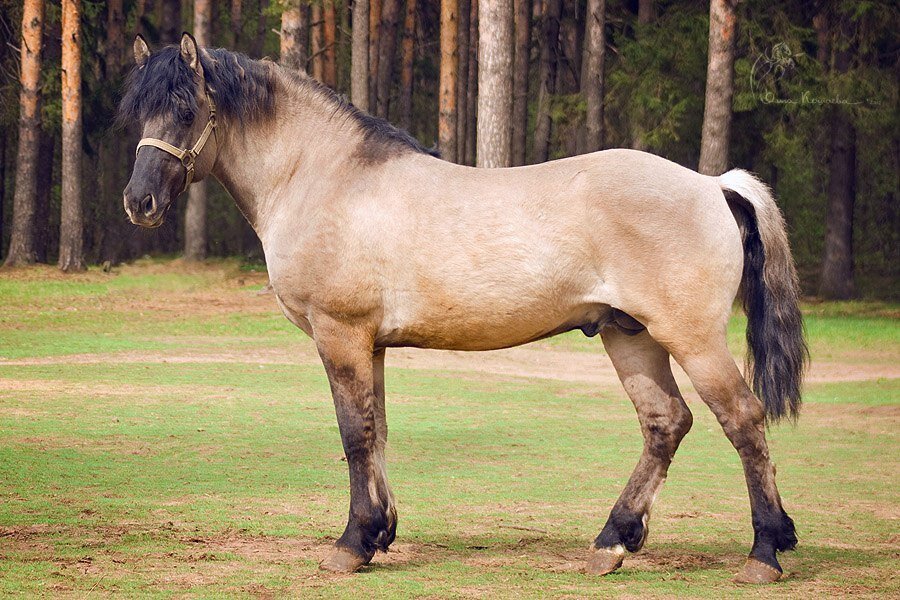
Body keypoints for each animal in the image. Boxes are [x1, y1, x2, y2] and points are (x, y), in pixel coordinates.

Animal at [121, 35, 808, 584]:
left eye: (186, 109)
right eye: (139, 111)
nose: (139, 202)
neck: (328, 179)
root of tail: (713, 184)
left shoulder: (340, 335)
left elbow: (353, 432)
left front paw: (351, 544)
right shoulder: (370, 343)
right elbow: (378, 430)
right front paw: (380, 533)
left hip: (690, 337)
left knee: (743, 419)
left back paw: (765, 553)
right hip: (630, 335)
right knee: (665, 423)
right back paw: (612, 543)